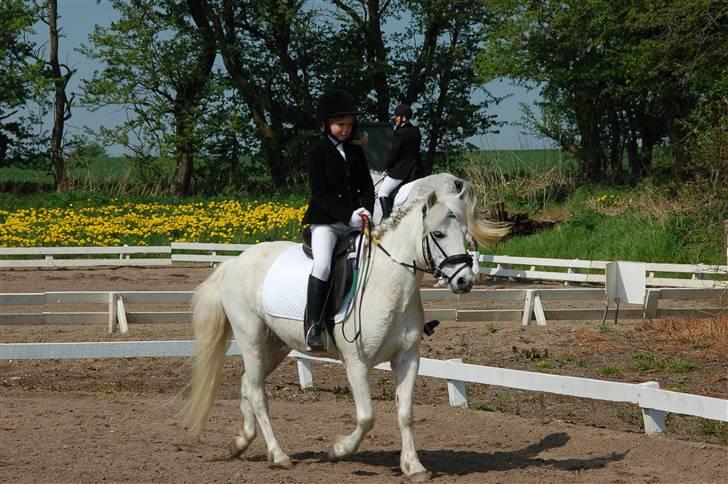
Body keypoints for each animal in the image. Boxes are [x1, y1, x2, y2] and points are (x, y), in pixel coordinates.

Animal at [179, 177, 509, 480]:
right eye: (438, 233)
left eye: (465, 234)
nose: (464, 281)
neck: (388, 282)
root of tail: (234, 263)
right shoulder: (356, 363)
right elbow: (366, 417)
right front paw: (337, 450)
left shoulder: (407, 358)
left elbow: (405, 414)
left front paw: (414, 467)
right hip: (251, 340)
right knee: (258, 394)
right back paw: (279, 455)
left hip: (275, 345)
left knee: (248, 383)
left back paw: (241, 443)